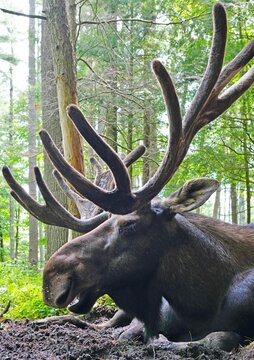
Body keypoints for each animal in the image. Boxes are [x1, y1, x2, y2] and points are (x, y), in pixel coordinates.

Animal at [2, 2, 254, 352]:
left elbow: (215, 337)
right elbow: (131, 332)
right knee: (94, 321)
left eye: (130, 224)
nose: (51, 278)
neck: (201, 300)